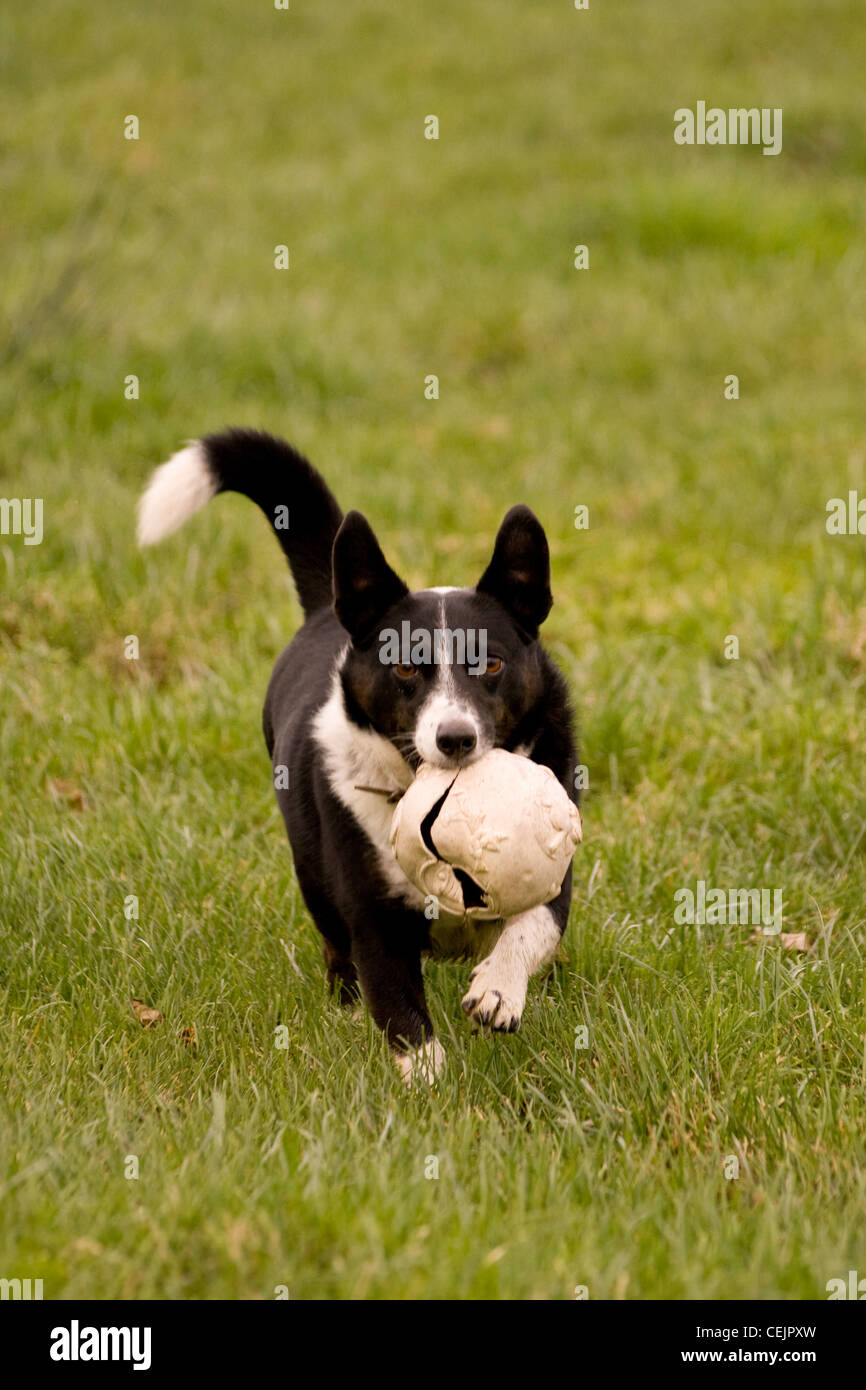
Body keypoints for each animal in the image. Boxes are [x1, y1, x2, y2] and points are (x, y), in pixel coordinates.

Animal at [139, 428, 578, 1078]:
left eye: (491, 663)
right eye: (404, 667)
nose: (455, 739)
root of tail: (330, 606)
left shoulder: (554, 875)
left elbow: (532, 926)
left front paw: (498, 990)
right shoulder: (372, 918)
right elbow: (401, 1011)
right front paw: (428, 1083)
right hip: (313, 875)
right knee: (336, 950)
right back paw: (344, 1009)